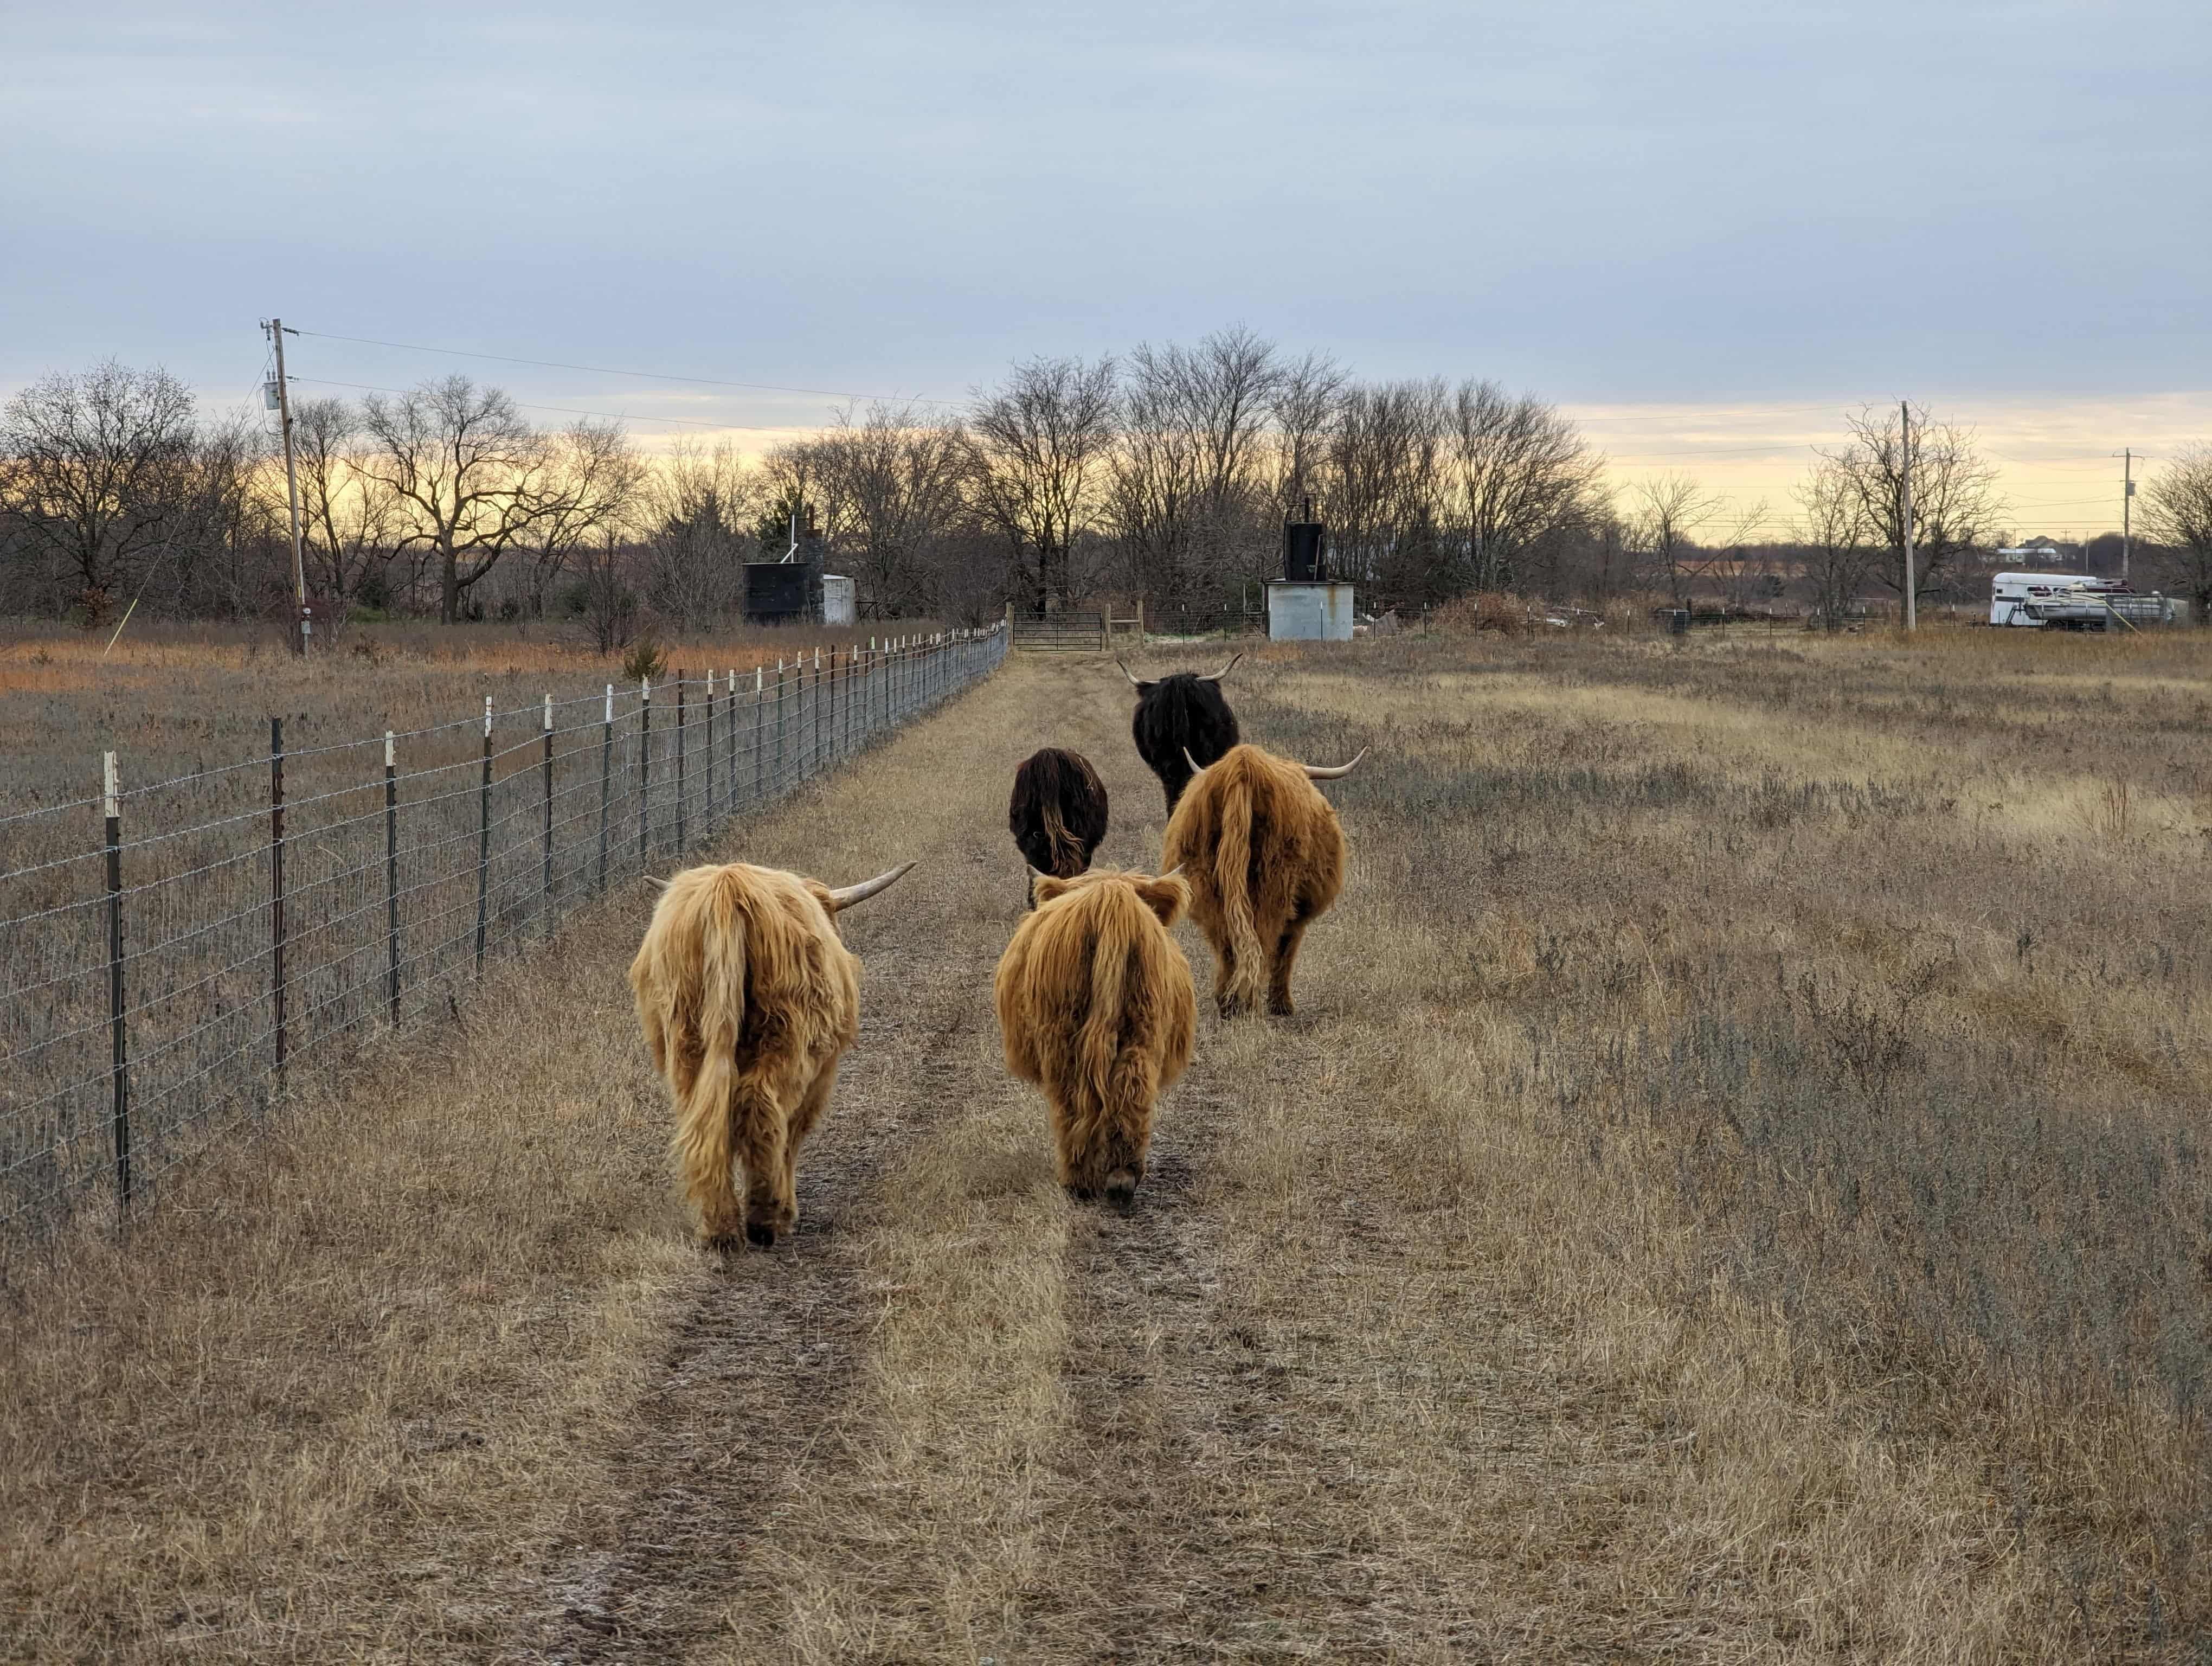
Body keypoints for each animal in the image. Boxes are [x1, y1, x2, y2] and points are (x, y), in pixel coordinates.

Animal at [628, 858, 913, 1248]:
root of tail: (730, 886)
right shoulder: (820, 1077)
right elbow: (793, 1134)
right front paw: (787, 1210)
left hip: (687, 1039)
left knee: (702, 1119)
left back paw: (719, 1226)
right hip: (788, 1037)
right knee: (760, 1107)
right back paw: (765, 1218)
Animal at [994, 867, 1196, 1204]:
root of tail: (1110, 899)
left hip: (1061, 1031)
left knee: (1072, 1099)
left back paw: (1078, 1180)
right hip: (1143, 1022)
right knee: (1132, 1084)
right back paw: (1122, 1176)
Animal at [1160, 742, 1365, 1018]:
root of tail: (1243, 770)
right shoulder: (1297, 918)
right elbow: (1286, 952)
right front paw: (1282, 1005)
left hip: (1209, 882)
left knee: (1226, 941)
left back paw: (1227, 1003)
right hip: (1274, 883)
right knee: (1263, 938)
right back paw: (1252, 1003)